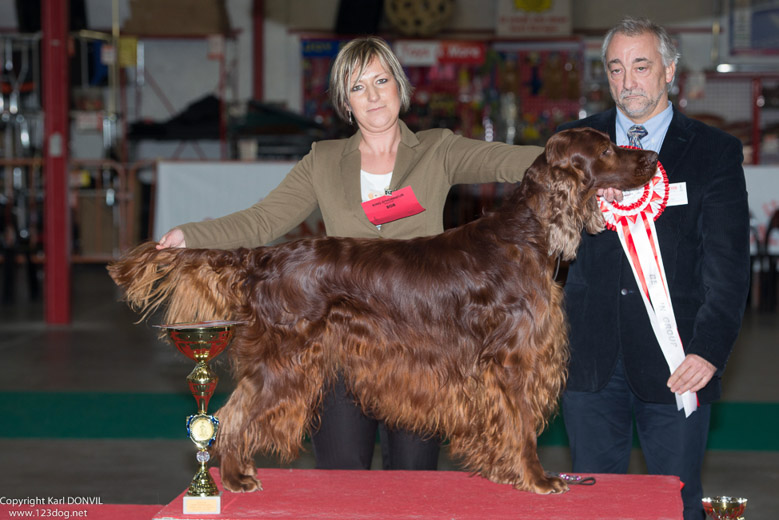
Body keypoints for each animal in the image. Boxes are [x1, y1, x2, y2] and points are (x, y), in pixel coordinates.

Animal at [109, 129, 660, 496]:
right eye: (607, 150)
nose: (653, 157)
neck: (526, 234)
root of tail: (263, 258)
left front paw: (506, 472)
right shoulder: (512, 358)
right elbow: (522, 424)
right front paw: (538, 479)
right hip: (285, 361)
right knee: (230, 414)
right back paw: (236, 477)